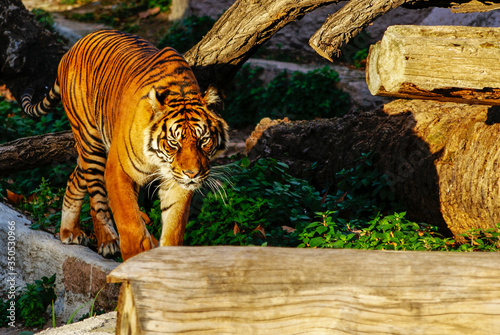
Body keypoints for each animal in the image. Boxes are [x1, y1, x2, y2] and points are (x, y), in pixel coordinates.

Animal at [21, 30, 229, 262]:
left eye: (204, 140)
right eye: (173, 143)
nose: (192, 174)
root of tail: (71, 49)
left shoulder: (176, 181)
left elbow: (174, 225)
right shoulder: (119, 170)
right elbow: (130, 222)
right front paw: (135, 258)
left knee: (75, 177)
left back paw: (69, 231)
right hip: (91, 142)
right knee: (96, 197)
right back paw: (108, 241)